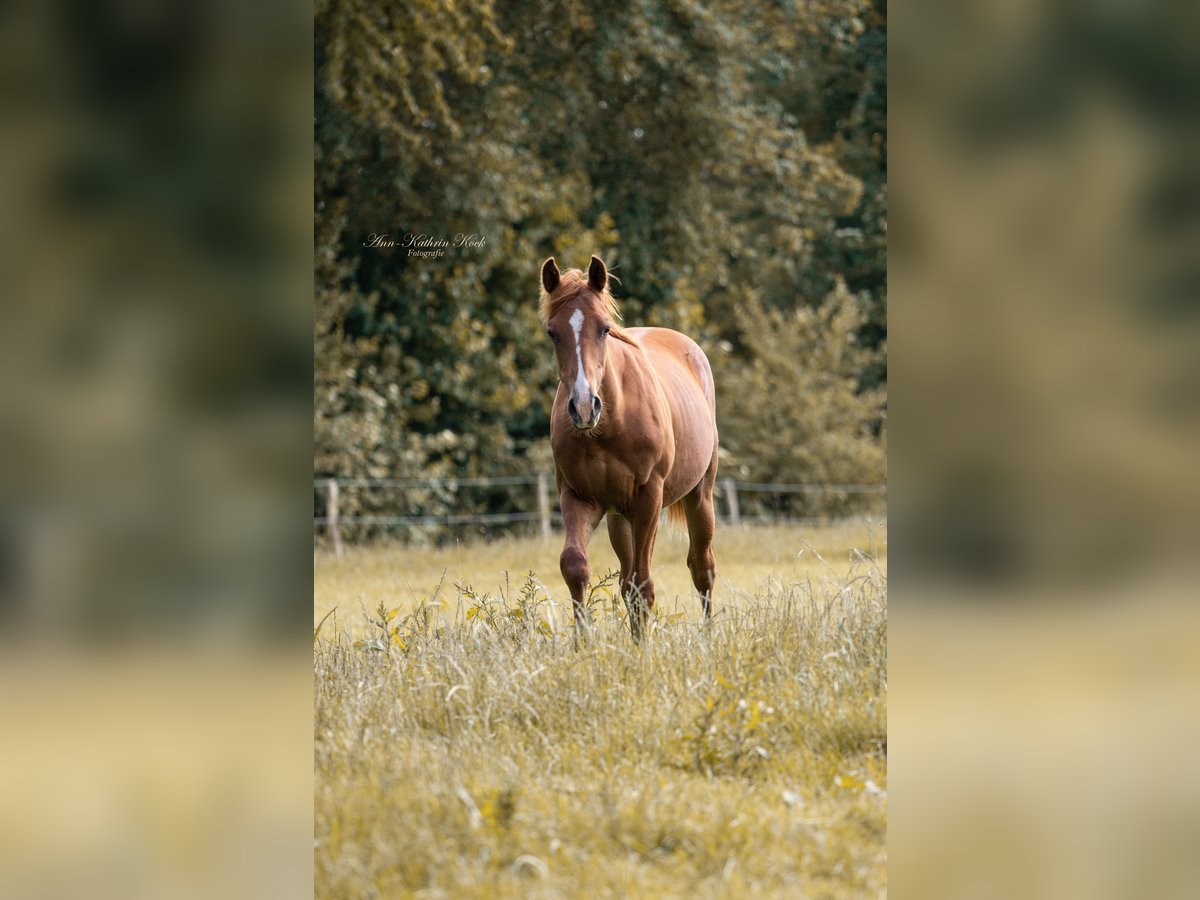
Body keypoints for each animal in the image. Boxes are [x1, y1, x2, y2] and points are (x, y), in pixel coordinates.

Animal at [540, 255, 719, 641]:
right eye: (552, 332)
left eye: (605, 328)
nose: (583, 407)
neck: (610, 425)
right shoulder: (578, 496)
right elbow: (576, 567)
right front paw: (583, 645)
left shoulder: (648, 496)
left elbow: (643, 584)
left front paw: (642, 649)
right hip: (619, 518)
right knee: (626, 579)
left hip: (699, 496)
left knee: (702, 567)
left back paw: (709, 636)